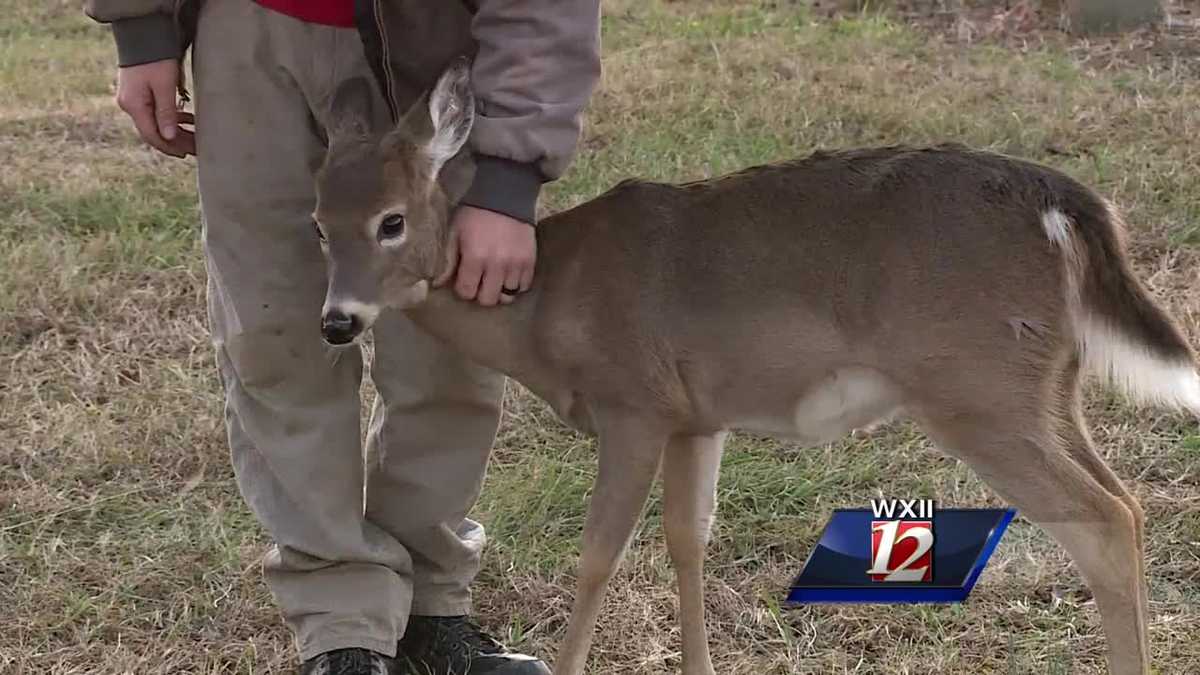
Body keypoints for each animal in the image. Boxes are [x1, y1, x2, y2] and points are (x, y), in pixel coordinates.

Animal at [310, 60, 1199, 675]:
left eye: (392, 221)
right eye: (318, 223)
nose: (336, 321)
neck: (546, 302)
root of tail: (1062, 206)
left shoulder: (633, 401)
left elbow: (599, 555)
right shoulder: (696, 416)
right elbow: (686, 540)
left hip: (976, 387)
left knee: (1100, 518)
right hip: (1043, 384)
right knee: (1127, 503)